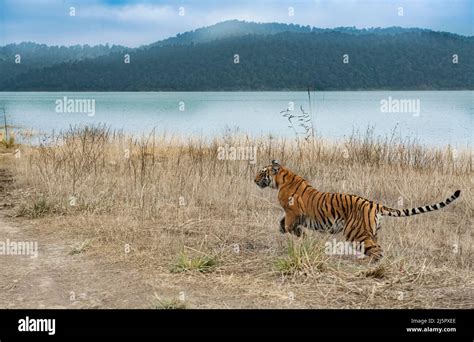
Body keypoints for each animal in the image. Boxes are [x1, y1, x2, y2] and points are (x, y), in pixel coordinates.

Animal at [254, 159, 462, 260]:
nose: (254, 180)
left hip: (356, 232)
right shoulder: (292, 214)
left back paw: (365, 263)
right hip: (371, 232)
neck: (281, 179)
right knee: (377, 249)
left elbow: (289, 224)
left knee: (377, 251)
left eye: (262, 172)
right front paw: (287, 231)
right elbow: (282, 222)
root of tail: (374, 203)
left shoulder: (293, 212)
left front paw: (298, 234)